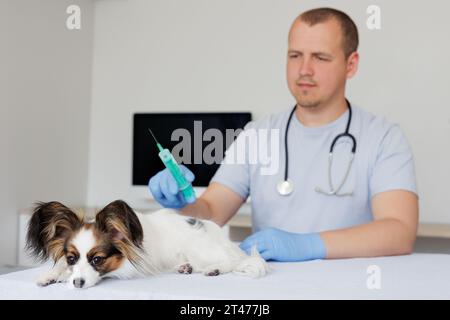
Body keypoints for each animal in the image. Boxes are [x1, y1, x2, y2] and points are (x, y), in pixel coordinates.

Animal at [24, 200, 268, 288]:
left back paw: (214, 268)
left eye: (98, 260)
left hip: (200, 250)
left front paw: (63, 277)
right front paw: (52, 274)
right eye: (71, 258)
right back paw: (184, 267)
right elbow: (60, 267)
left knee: (230, 261)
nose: (77, 284)